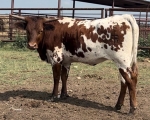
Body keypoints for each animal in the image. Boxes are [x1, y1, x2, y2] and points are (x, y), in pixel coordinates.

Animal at [11, 14, 139, 113]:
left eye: (40, 31)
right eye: (27, 31)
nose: (31, 45)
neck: (51, 31)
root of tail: (122, 17)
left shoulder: (56, 58)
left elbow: (56, 78)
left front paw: (54, 96)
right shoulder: (66, 61)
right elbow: (64, 77)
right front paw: (64, 95)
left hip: (122, 61)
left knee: (130, 80)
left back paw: (132, 108)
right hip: (124, 62)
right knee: (124, 81)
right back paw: (118, 105)